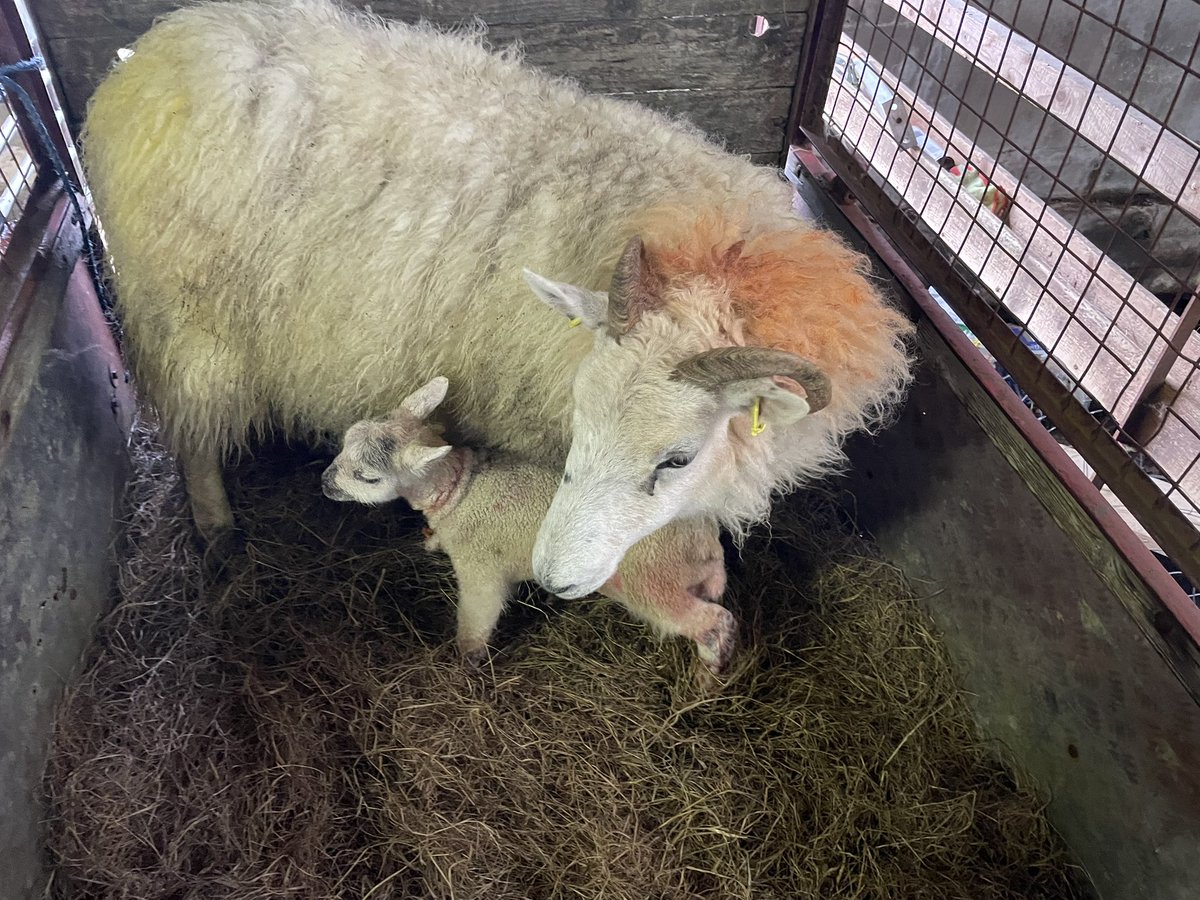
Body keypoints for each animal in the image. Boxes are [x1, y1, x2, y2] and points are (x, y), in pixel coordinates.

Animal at [82, 0, 912, 590]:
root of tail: (153, 53)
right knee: (195, 434)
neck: (702, 242)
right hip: (191, 322)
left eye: (676, 459)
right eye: (578, 423)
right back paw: (218, 529)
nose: (556, 578)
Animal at [321, 377, 735, 673]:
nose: (324, 483)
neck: (461, 489)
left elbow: (477, 617)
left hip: (652, 580)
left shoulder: (481, 568)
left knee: (714, 621)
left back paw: (709, 674)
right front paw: (432, 540)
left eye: (367, 477)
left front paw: (467, 661)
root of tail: (705, 542)